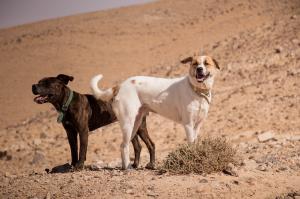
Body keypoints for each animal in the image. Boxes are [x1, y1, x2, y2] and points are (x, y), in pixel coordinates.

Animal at [90, 54, 219, 169]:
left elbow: (195, 142)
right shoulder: (188, 124)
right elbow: (191, 143)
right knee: (124, 145)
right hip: (128, 123)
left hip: (136, 124)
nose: (199, 69)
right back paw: (127, 167)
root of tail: (120, 85)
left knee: (127, 145)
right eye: (195, 63)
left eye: (206, 63)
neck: (197, 91)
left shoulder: (197, 125)